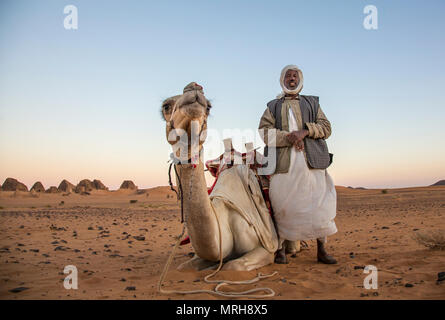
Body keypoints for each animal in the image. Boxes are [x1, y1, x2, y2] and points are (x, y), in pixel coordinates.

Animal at [160, 82, 278, 270]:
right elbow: (183, 267)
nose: (194, 88)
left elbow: (232, 266)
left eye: (208, 107)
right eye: (166, 106)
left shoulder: (267, 247)